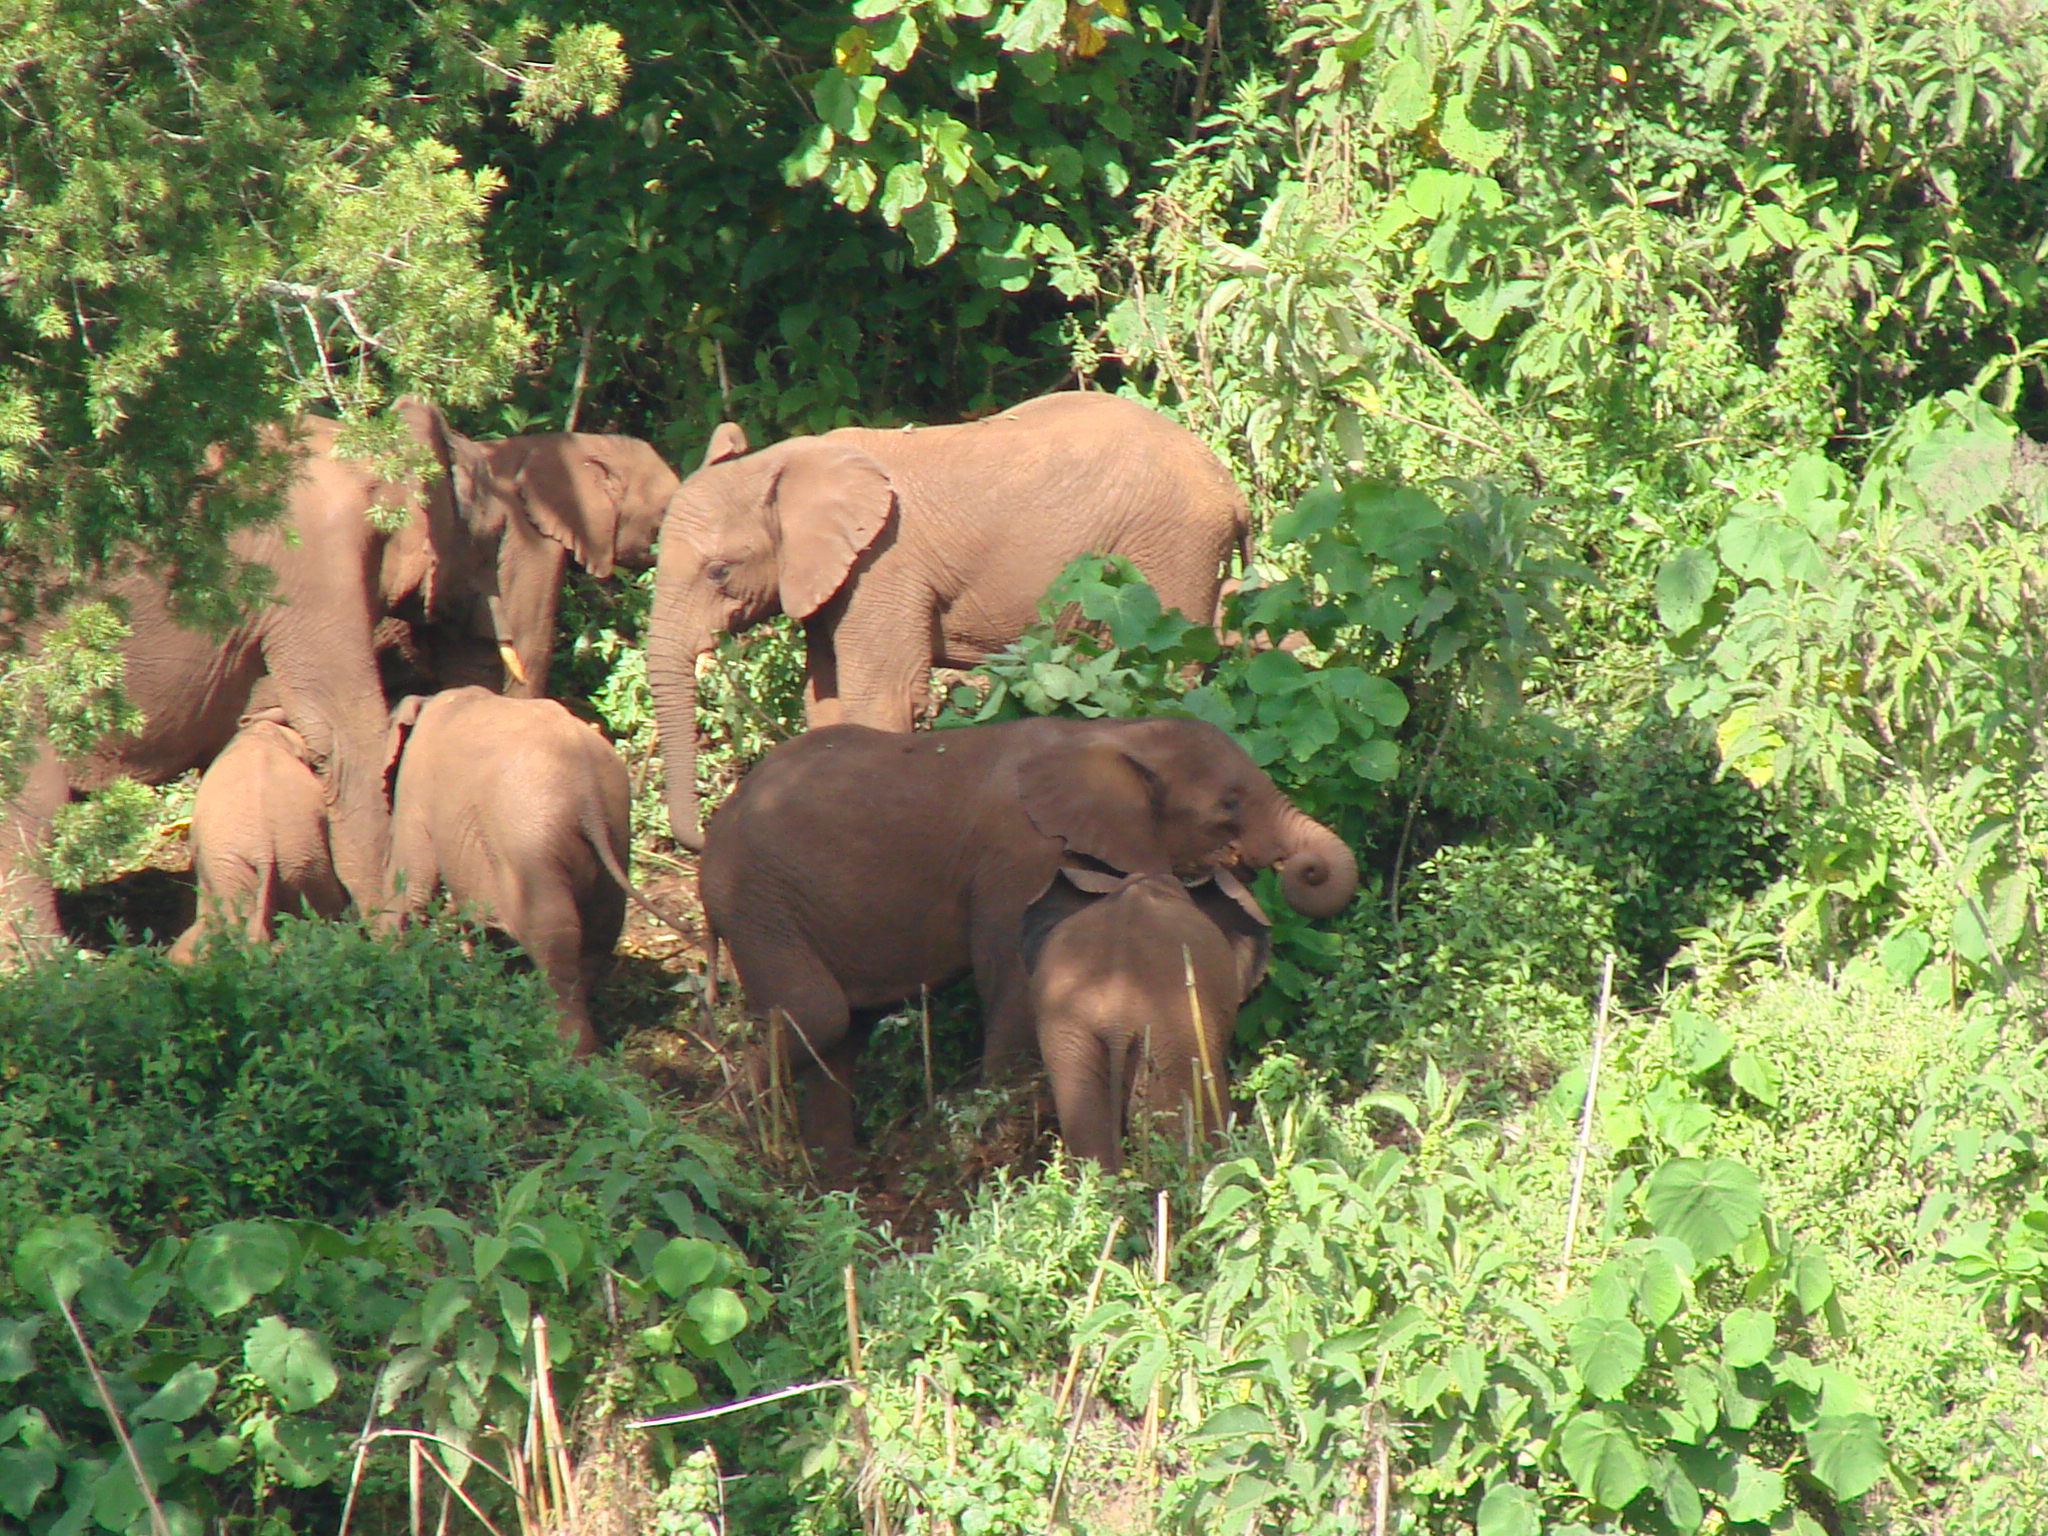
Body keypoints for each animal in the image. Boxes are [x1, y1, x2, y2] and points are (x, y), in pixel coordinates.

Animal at [4, 409, 684, 962]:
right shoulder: (316, 573)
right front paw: (387, 941)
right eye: (492, 534)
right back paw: (54, 970)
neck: (370, 438)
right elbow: (346, 735)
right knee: (30, 804)